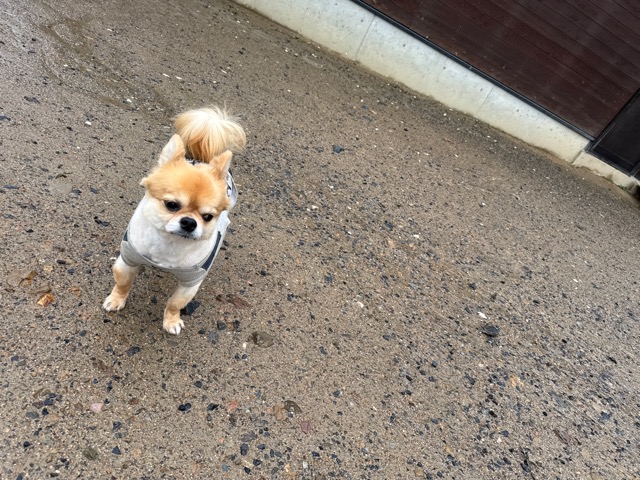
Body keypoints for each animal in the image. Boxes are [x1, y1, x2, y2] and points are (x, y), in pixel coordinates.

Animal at [103, 107, 246, 334]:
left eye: (207, 217)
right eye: (171, 205)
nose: (189, 222)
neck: (169, 245)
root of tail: (201, 157)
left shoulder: (191, 282)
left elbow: (174, 303)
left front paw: (171, 321)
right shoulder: (127, 259)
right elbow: (123, 284)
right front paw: (117, 300)